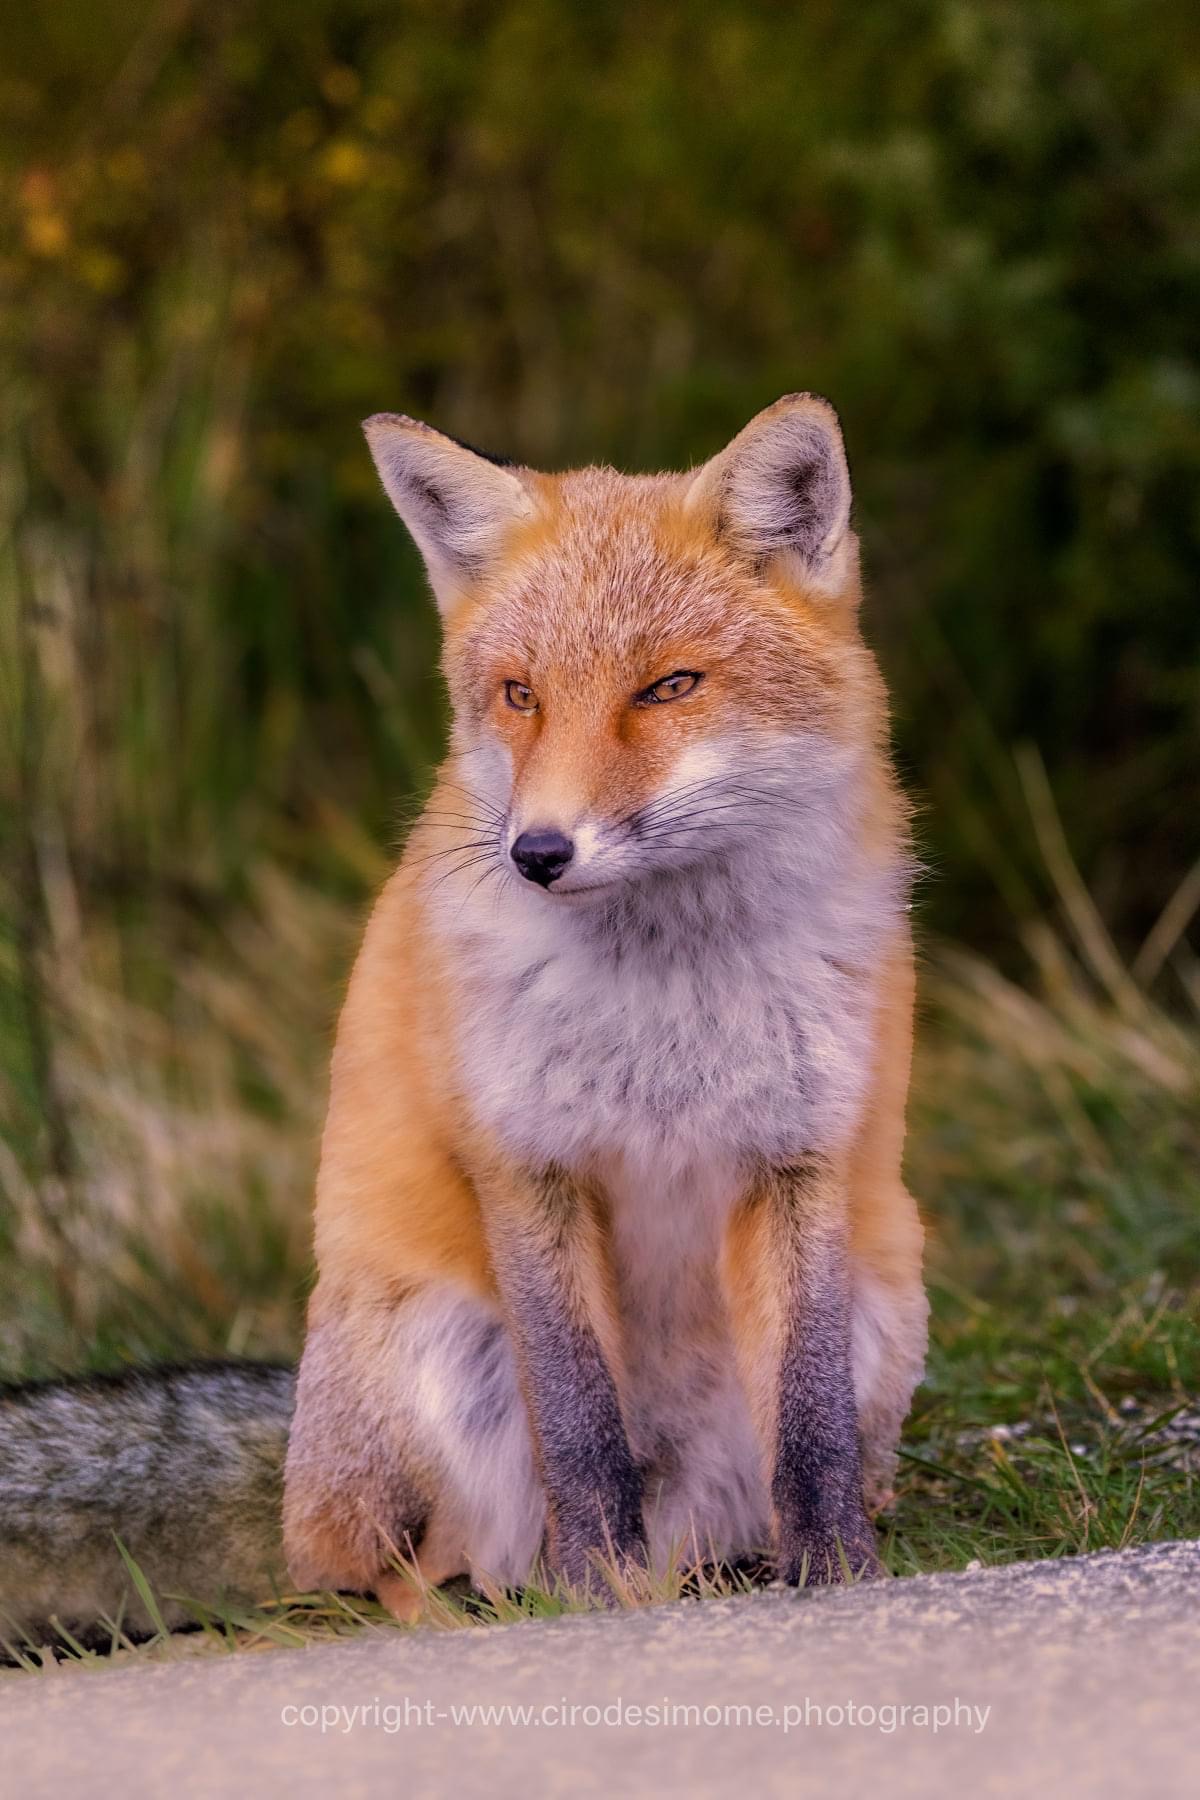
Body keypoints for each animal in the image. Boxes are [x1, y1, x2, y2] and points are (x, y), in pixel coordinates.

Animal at [282, 393, 928, 1617]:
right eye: (521, 695)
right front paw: (594, 1588)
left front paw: (835, 1573)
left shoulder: (800, 1155)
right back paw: (510, 1601)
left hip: (890, 1299)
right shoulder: (526, 1162)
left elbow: (808, 1420)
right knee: (403, 1571)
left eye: (667, 687)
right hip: (428, 1348)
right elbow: (581, 1424)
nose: (537, 852)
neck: (667, 1002)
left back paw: (728, 1567)